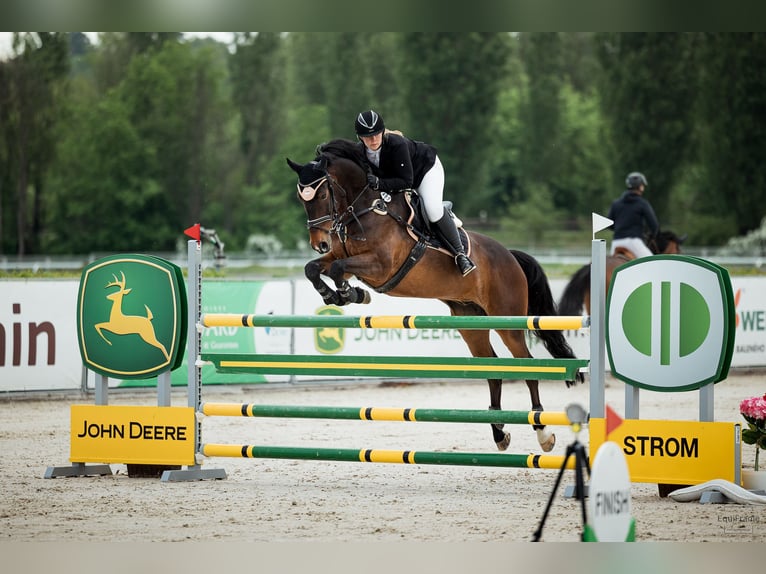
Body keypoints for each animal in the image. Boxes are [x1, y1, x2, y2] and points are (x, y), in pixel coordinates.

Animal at [287, 138, 583, 453]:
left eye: (322, 194)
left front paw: (349, 293)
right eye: (302, 199)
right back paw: (499, 433)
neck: (366, 209)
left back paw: (543, 433)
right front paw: (336, 295)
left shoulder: (380, 266)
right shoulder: (342, 254)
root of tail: (510, 256)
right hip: (470, 320)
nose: (319, 243)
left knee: (526, 365)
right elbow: (314, 268)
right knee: (492, 367)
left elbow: (338, 269)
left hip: (508, 320)